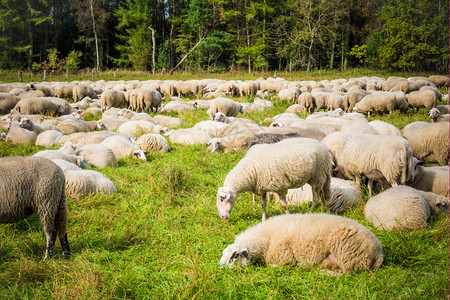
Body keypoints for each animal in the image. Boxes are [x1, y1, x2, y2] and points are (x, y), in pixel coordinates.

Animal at [220, 213, 382, 272]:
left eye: (235, 255)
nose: (220, 267)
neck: (266, 238)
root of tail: (379, 253)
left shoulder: (283, 256)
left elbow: (279, 265)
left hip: (348, 253)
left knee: (348, 272)